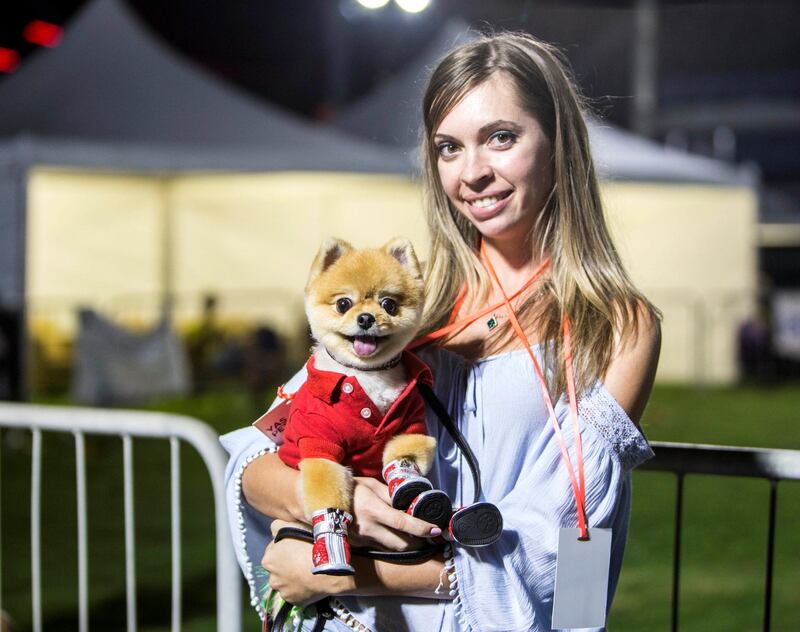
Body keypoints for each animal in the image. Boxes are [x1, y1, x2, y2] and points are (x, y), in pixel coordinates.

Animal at [276, 238, 454, 576]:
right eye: (343, 304)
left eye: (389, 305)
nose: (366, 318)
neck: (366, 375)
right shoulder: (320, 447)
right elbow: (330, 500)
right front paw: (332, 552)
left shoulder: (410, 425)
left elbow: (401, 456)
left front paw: (408, 483)